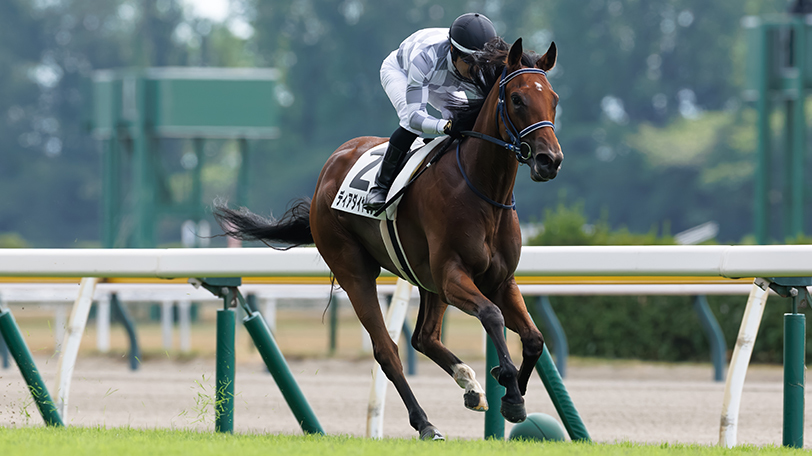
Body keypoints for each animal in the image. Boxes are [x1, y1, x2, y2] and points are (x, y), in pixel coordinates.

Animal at [214, 37, 562, 440]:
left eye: (553, 98)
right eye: (518, 99)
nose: (549, 160)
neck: (482, 190)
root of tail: (327, 170)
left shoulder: (500, 280)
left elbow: (534, 338)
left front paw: (511, 392)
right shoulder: (453, 275)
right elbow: (491, 315)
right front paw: (509, 387)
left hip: (426, 280)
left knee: (424, 337)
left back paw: (470, 385)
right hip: (355, 270)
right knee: (387, 350)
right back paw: (425, 422)